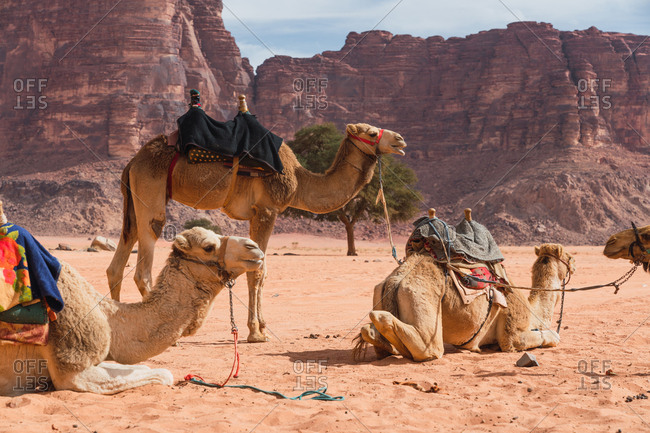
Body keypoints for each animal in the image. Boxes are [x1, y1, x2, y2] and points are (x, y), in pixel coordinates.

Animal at [0, 227, 264, 395]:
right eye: (209, 247)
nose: (255, 248)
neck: (108, 315)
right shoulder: (73, 368)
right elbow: (163, 374)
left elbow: (144, 367)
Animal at [107, 118, 407, 342]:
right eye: (371, 132)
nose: (401, 140)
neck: (300, 181)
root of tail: (133, 162)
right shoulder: (267, 209)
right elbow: (257, 271)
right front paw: (256, 333)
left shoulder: (255, 213)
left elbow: (262, 270)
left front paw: (261, 326)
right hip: (150, 189)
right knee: (146, 255)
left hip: (133, 198)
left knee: (120, 256)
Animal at [354, 243, 575, 362]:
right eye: (570, 257)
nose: (573, 266)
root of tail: (396, 279)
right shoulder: (512, 335)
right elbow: (551, 336)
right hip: (422, 302)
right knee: (428, 347)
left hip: (379, 291)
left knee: (376, 337)